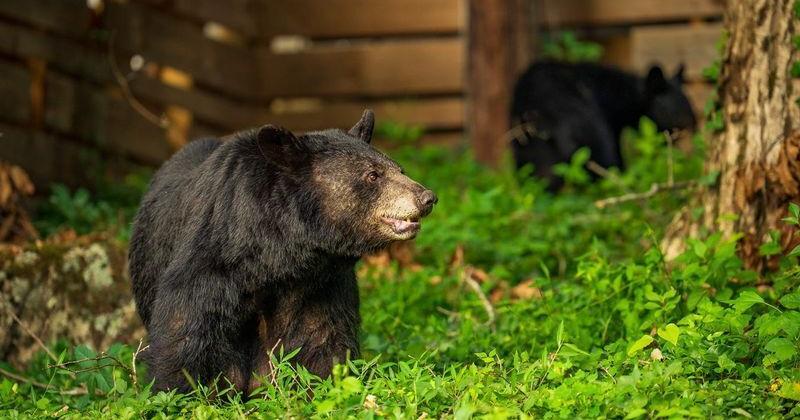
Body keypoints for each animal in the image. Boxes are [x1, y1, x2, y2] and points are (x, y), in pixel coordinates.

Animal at [128, 110, 437, 394]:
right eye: (373, 175)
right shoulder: (213, 262)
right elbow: (186, 334)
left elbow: (323, 342)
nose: (427, 197)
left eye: (399, 169)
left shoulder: (322, 287)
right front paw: (180, 389)